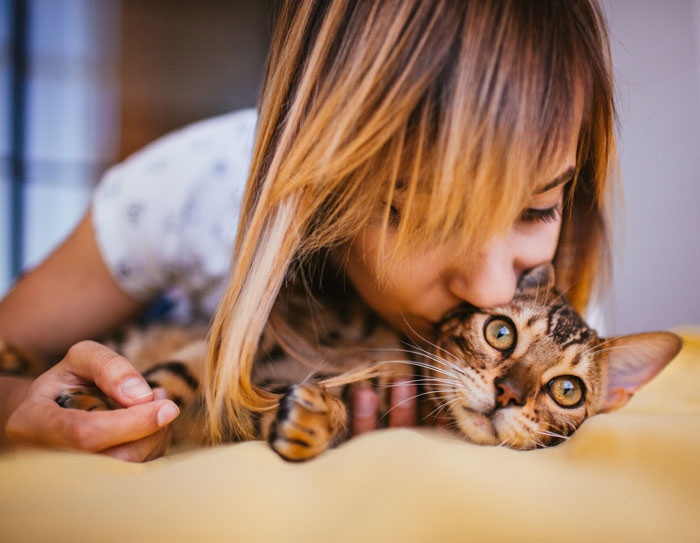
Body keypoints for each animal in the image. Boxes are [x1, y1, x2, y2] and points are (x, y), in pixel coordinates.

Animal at [0, 266, 680, 462]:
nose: (509, 393)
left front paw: (311, 422)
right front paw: (103, 401)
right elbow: (167, 381)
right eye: (500, 331)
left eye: (566, 391)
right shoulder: (241, 340)